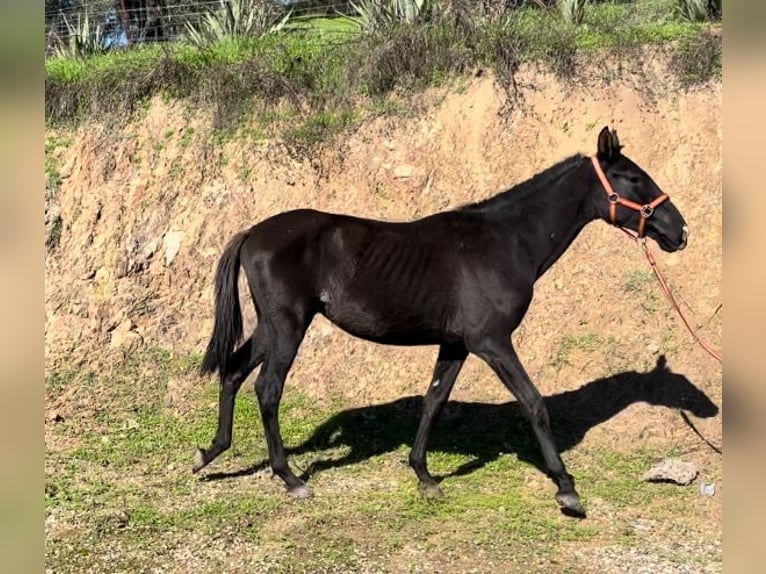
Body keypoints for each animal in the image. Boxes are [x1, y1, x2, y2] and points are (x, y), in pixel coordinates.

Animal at [195, 125, 692, 516]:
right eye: (634, 178)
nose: (680, 232)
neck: (505, 242)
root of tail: (253, 232)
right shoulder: (492, 342)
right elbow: (533, 403)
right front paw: (566, 488)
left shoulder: (455, 344)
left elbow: (434, 401)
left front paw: (424, 475)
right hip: (288, 326)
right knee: (267, 389)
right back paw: (291, 478)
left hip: (272, 326)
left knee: (233, 372)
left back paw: (210, 453)